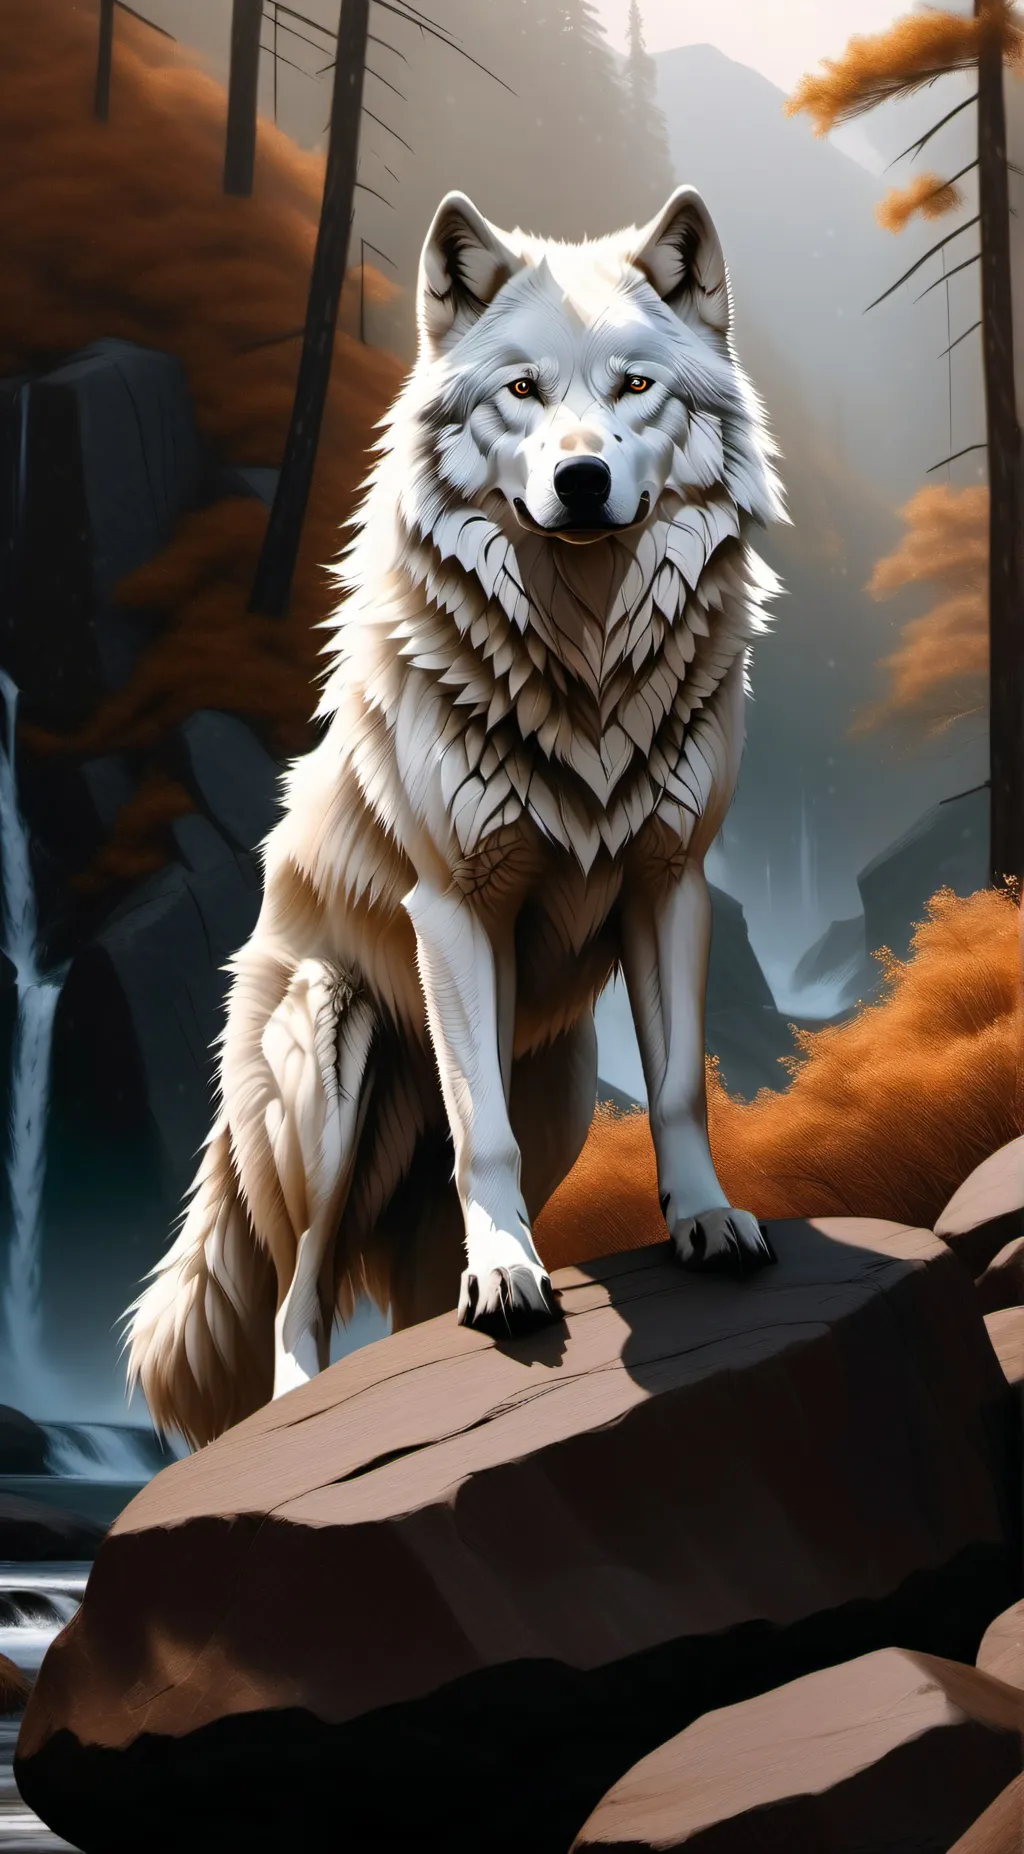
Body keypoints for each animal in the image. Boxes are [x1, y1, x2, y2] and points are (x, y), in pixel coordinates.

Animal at [124, 185, 787, 1448]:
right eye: (522, 390)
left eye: (634, 386)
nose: (580, 481)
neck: (582, 663)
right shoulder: (453, 907)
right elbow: (484, 1139)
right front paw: (515, 1281)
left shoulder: (670, 882)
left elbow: (680, 1088)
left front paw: (707, 1221)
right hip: (329, 1060)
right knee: (298, 1288)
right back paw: (318, 1396)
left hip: (560, 1088)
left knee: (417, 1278)